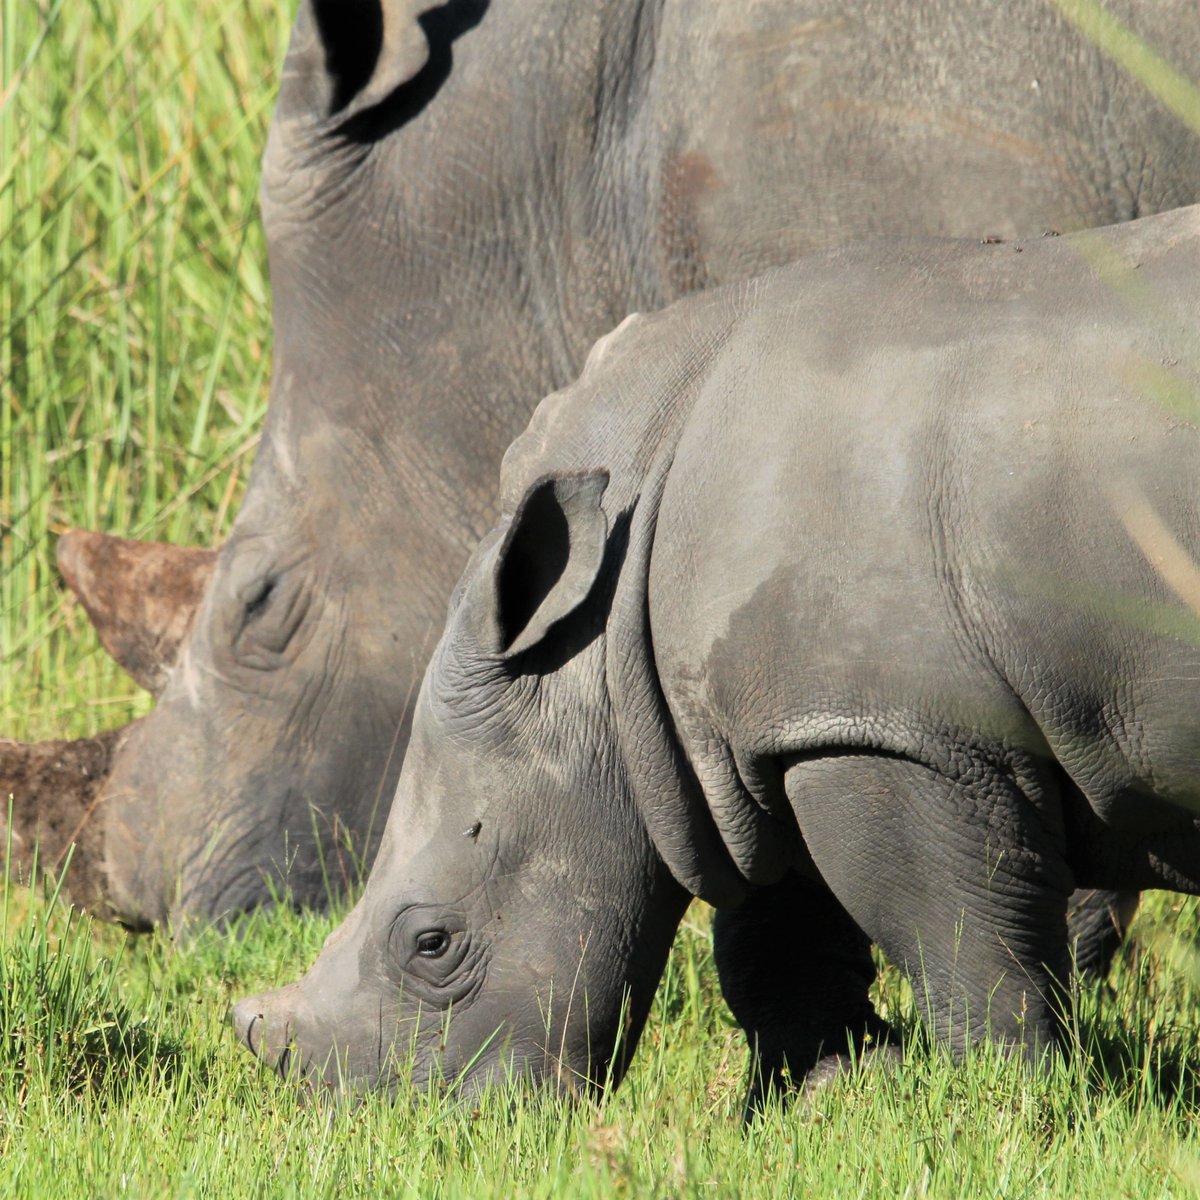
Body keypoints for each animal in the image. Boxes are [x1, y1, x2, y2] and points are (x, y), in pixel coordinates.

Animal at [233, 203, 1200, 1104]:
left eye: (433, 943)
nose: (396, 1121)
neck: (594, 657)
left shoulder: (896, 731)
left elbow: (967, 945)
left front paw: (1019, 1104)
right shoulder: (777, 724)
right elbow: (777, 933)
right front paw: (829, 1097)